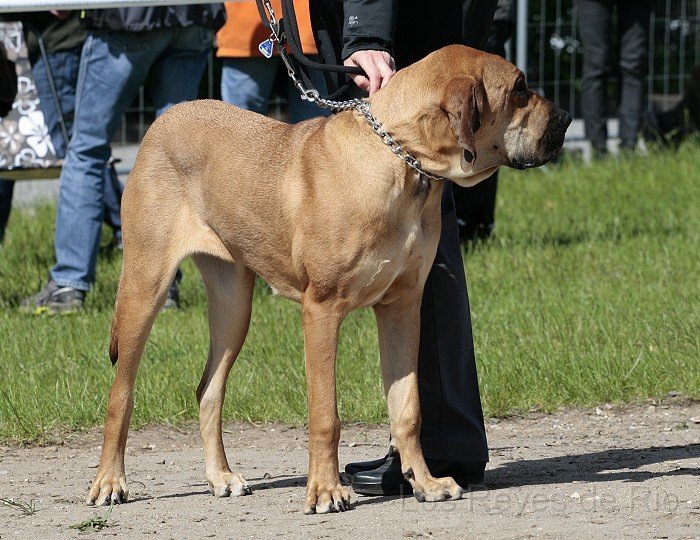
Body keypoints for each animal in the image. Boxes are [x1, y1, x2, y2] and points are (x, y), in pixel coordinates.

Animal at [86, 44, 568, 512]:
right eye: (520, 88)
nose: (564, 117)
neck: (403, 163)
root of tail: (162, 120)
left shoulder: (403, 306)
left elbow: (407, 407)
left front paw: (426, 483)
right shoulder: (322, 309)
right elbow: (325, 414)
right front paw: (325, 491)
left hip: (233, 305)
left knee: (209, 389)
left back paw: (220, 476)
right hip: (144, 284)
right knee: (120, 393)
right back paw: (110, 482)